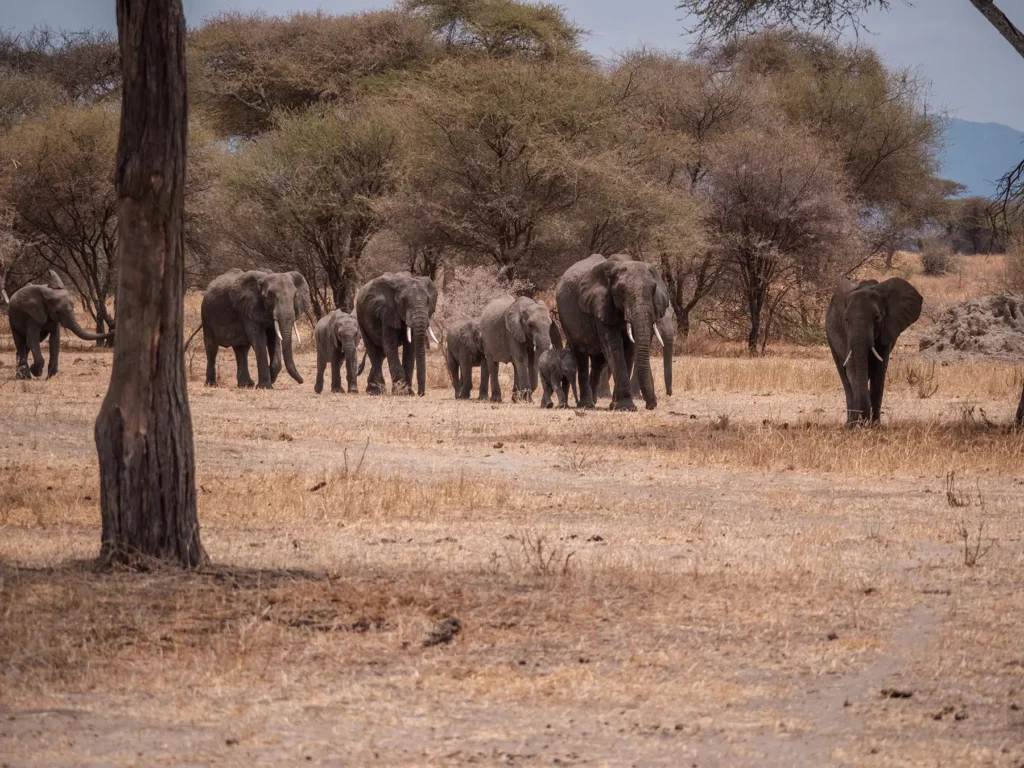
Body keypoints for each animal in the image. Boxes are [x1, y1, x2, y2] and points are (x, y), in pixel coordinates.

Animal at [556, 254, 670, 411]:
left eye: (653, 290)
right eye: (621, 291)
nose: (651, 405)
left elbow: (629, 349)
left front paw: (615, 405)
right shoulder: (601, 304)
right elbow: (614, 345)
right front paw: (626, 407)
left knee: (598, 361)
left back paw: (594, 402)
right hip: (566, 320)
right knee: (580, 354)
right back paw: (586, 405)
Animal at [825, 277, 922, 426]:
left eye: (877, 318)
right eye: (846, 319)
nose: (864, 422)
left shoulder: (887, 330)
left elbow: (879, 370)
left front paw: (876, 426)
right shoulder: (847, 335)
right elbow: (853, 368)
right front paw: (858, 424)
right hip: (831, 338)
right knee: (844, 376)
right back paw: (850, 424)